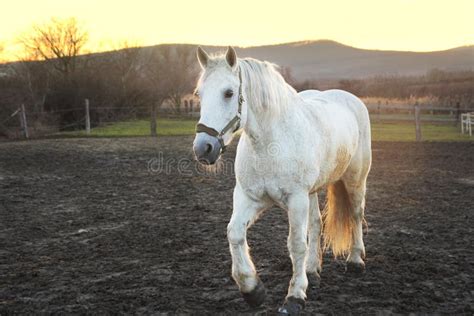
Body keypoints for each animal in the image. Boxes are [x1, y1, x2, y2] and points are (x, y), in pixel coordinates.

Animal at [193, 46, 370, 314]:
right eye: (199, 94)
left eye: (229, 93)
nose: (203, 148)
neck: (270, 144)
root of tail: (350, 99)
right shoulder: (249, 198)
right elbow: (235, 233)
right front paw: (253, 290)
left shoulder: (296, 200)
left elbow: (296, 244)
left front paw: (294, 297)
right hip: (312, 192)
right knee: (316, 224)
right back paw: (312, 271)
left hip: (355, 179)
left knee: (356, 214)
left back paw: (355, 261)